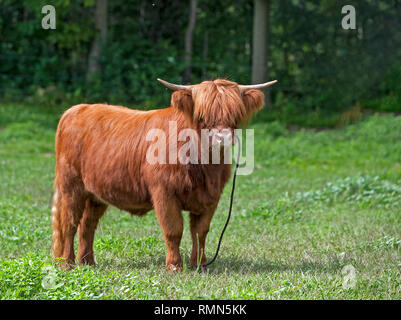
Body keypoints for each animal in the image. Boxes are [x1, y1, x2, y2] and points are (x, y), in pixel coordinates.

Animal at [51, 77, 276, 270]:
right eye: (202, 117)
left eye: (235, 116)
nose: (222, 138)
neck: (204, 166)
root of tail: (77, 109)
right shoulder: (164, 193)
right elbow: (174, 230)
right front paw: (175, 266)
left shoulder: (211, 197)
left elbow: (200, 232)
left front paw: (200, 265)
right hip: (71, 186)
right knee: (69, 223)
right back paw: (67, 263)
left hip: (95, 194)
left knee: (87, 225)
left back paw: (88, 262)